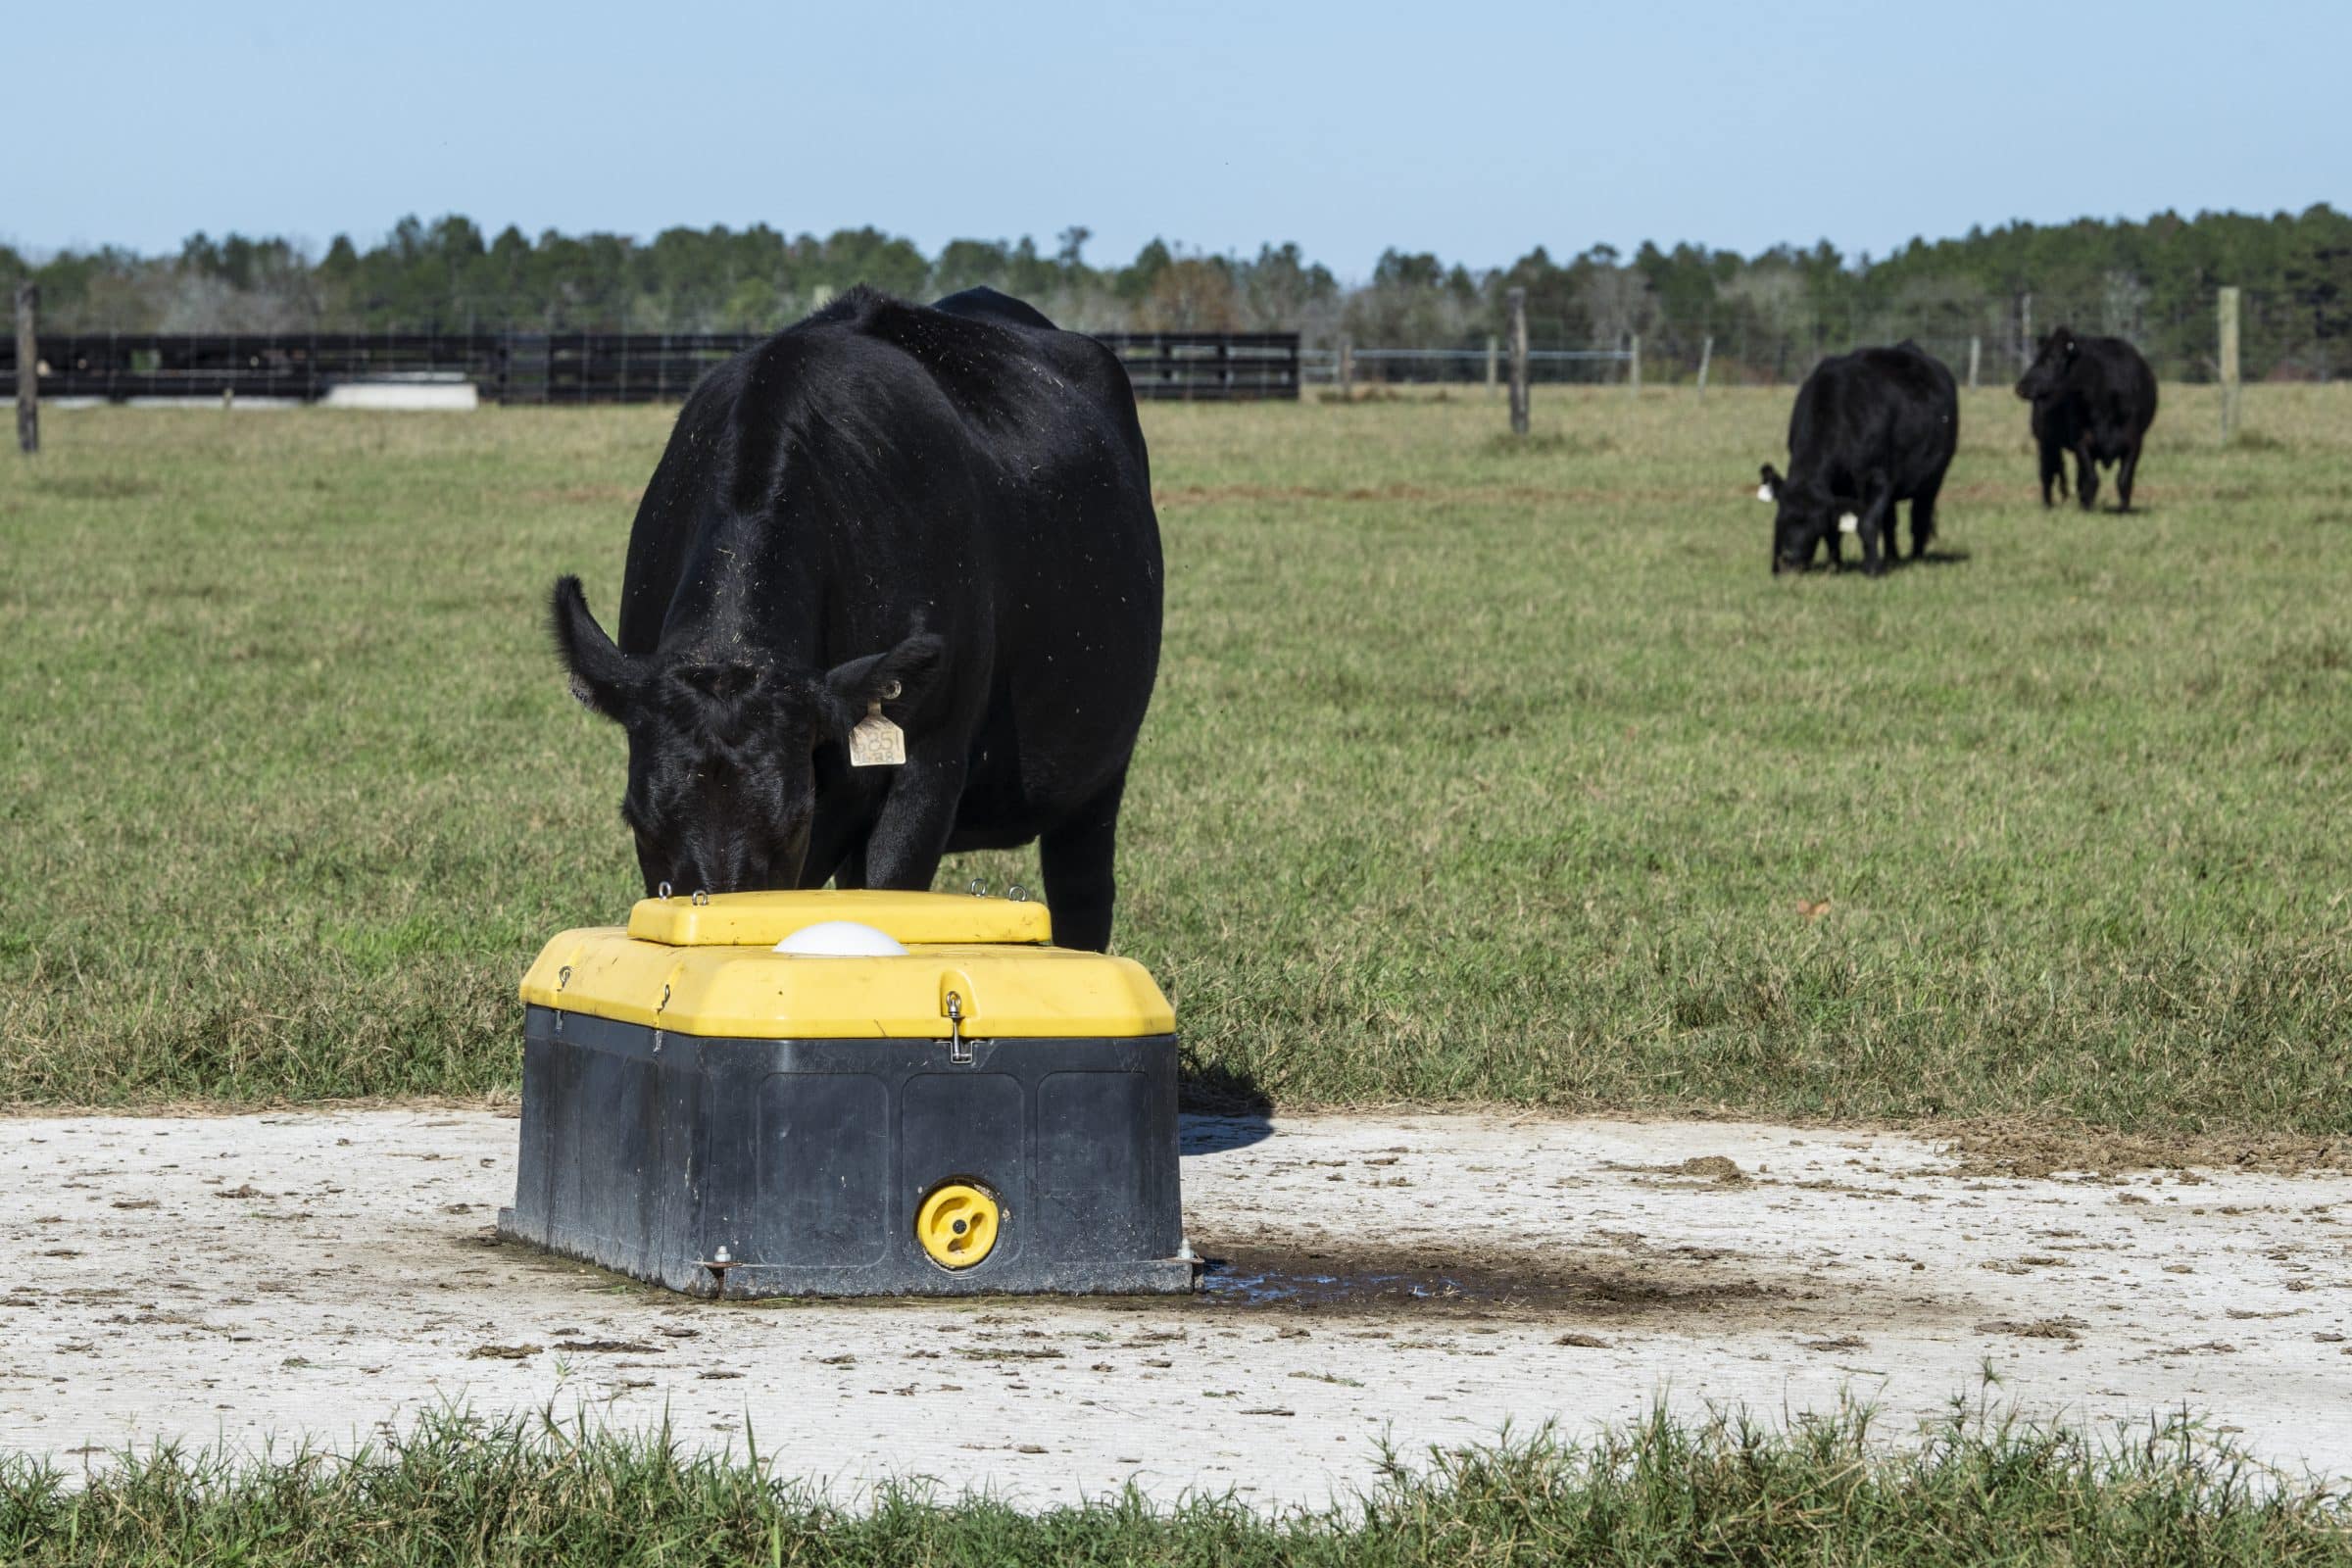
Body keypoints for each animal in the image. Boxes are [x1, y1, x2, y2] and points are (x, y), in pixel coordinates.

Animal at [1755, 342, 1957, 576]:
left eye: (1814, 524)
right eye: (1780, 518)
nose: (1787, 562)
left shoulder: (1877, 478)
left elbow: (1867, 523)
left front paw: (1872, 568)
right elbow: (1836, 531)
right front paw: (1835, 564)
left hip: (1933, 479)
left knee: (1919, 518)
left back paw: (1916, 558)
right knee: (1890, 522)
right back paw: (1891, 557)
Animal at [2014, 328, 2158, 512]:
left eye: (2051, 358)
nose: (2020, 387)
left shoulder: (2134, 441)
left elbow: (2124, 479)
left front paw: (2123, 510)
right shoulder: (2081, 440)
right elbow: (2092, 478)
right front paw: (2087, 509)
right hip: (2046, 441)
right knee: (2048, 473)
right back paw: (2048, 505)